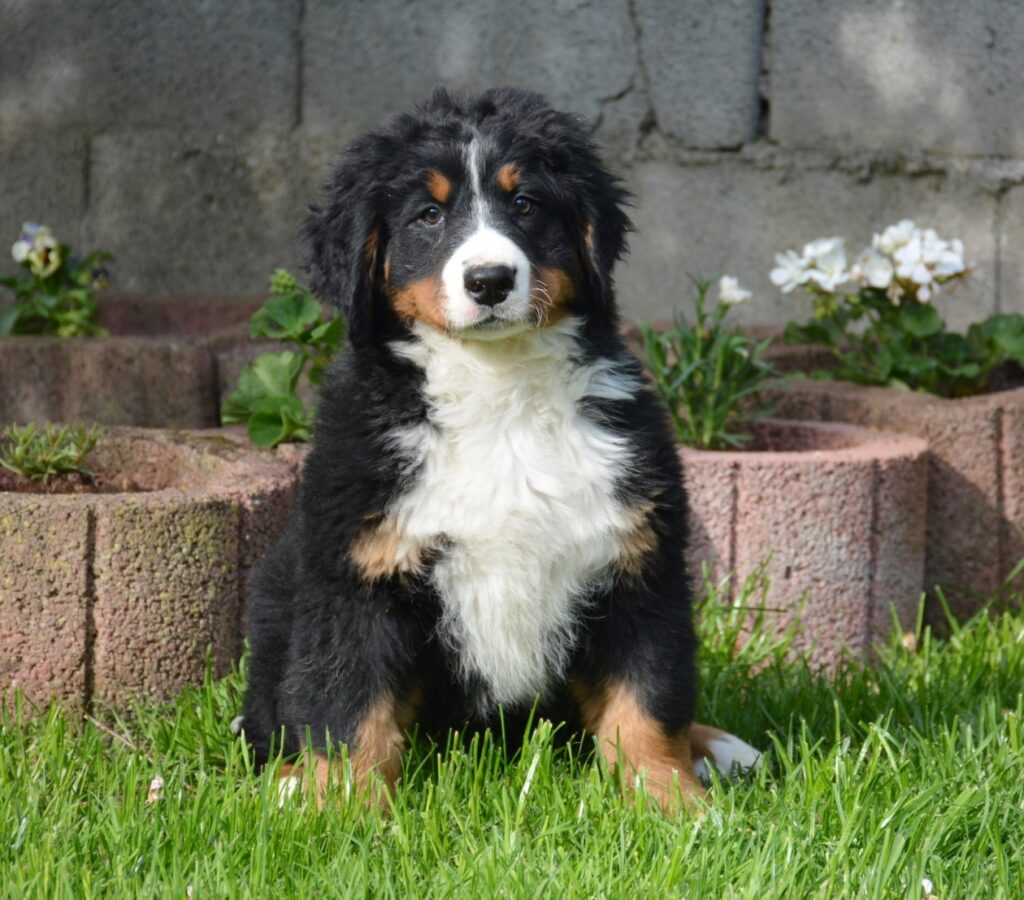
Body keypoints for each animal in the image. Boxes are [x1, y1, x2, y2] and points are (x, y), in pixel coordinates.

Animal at [237, 88, 753, 815]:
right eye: (428, 215)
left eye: (527, 204)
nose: (488, 279)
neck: (498, 391)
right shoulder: (358, 578)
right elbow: (348, 710)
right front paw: (337, 809)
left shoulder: (636, 568)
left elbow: (647, 705)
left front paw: (673, 806)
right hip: (280, 590)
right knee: (276, 714)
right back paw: (287, 779)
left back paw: (720, 747)